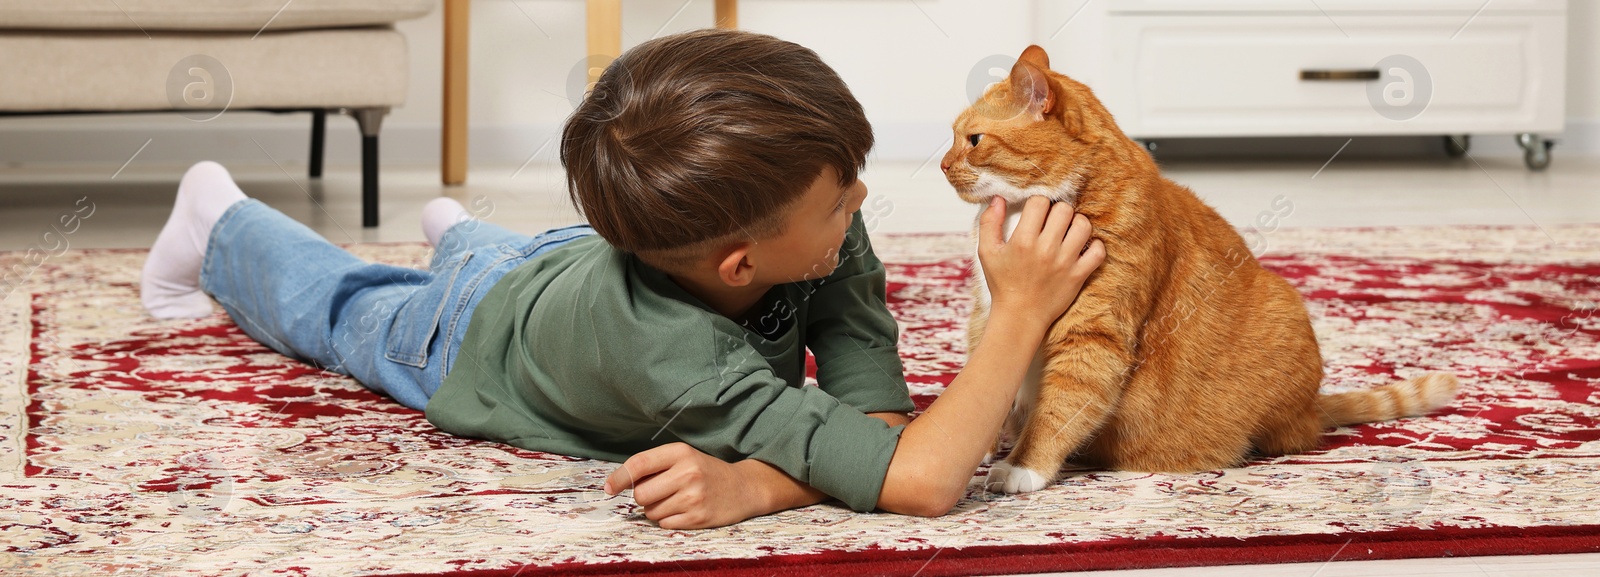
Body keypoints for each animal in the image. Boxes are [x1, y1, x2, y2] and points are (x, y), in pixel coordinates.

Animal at [934, 46, 1465, 495]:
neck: (1025, 214)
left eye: (974, 140)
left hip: (1285, 316)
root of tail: (1312, 406)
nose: (941, 165)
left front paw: (1021, 466)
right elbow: (989, 373)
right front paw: (983, 441)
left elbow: (1057, 408)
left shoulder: (1093, 336)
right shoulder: (989, 310)